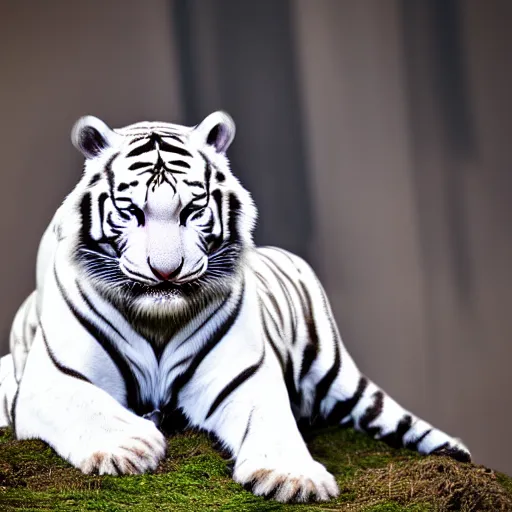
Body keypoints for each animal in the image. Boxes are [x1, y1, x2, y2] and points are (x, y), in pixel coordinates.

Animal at [0, 113, 470, 504]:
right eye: (131, 211)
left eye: (192, 210)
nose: (166, 272)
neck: (157, 322)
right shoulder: (52, 377)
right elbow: (86, 402)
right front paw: (128, 447)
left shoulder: (243, 377)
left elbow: (272, 421)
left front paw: (292, 477)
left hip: (332, 368)